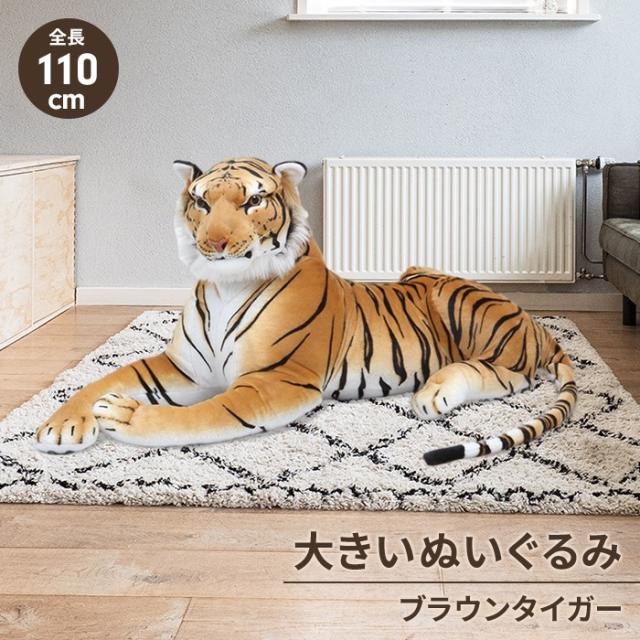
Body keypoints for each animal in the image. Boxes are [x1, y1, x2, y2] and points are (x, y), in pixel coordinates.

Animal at [34, 157, 577, 465]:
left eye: (253, 201)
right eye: (201, 203)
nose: (216, 243)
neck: (226, 286)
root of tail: (538, 327)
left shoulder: (275, 381)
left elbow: (200, 414)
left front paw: (124, 416)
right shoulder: (183, 366)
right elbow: (107, 376)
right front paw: (61, 425)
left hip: (457, 298)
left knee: (503, 373)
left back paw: (434, 394)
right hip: (416, 271)